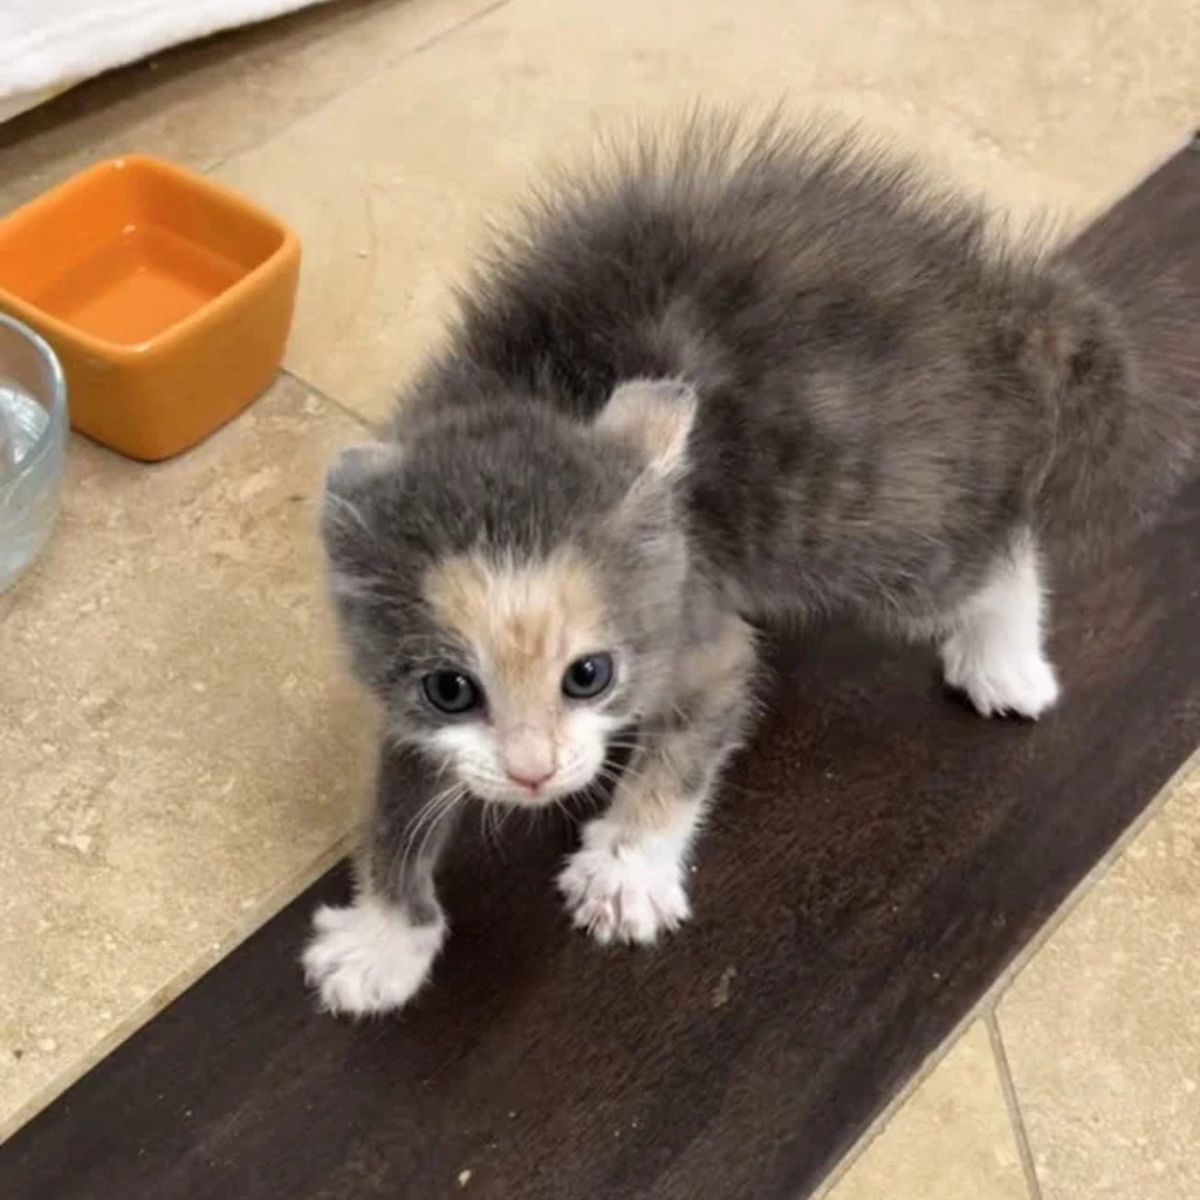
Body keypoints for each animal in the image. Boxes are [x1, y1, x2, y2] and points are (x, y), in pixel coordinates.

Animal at [297, 114, 1190, 1012]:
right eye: (450, 690)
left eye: (589, 676)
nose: (532, 774)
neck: (533, 390)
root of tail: (1001, 307)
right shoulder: (405, 695)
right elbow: (397, 800)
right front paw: (386, 938)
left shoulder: (696, 620)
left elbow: (692, 738)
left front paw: (626, 868)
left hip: (872, 522)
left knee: (995, 557)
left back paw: (1005, 660)